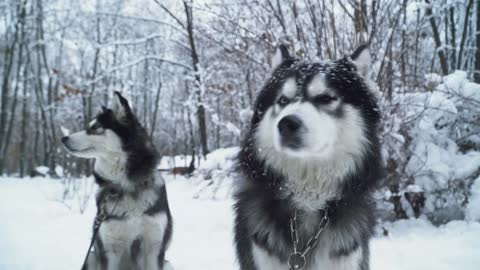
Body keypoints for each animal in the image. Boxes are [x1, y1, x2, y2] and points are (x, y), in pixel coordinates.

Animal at [61, 92, 172, 270]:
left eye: (96, 127)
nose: (63, 138)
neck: (126, 186)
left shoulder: (153, 249)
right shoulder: (109, 249)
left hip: (168, 264)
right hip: (91, 257)